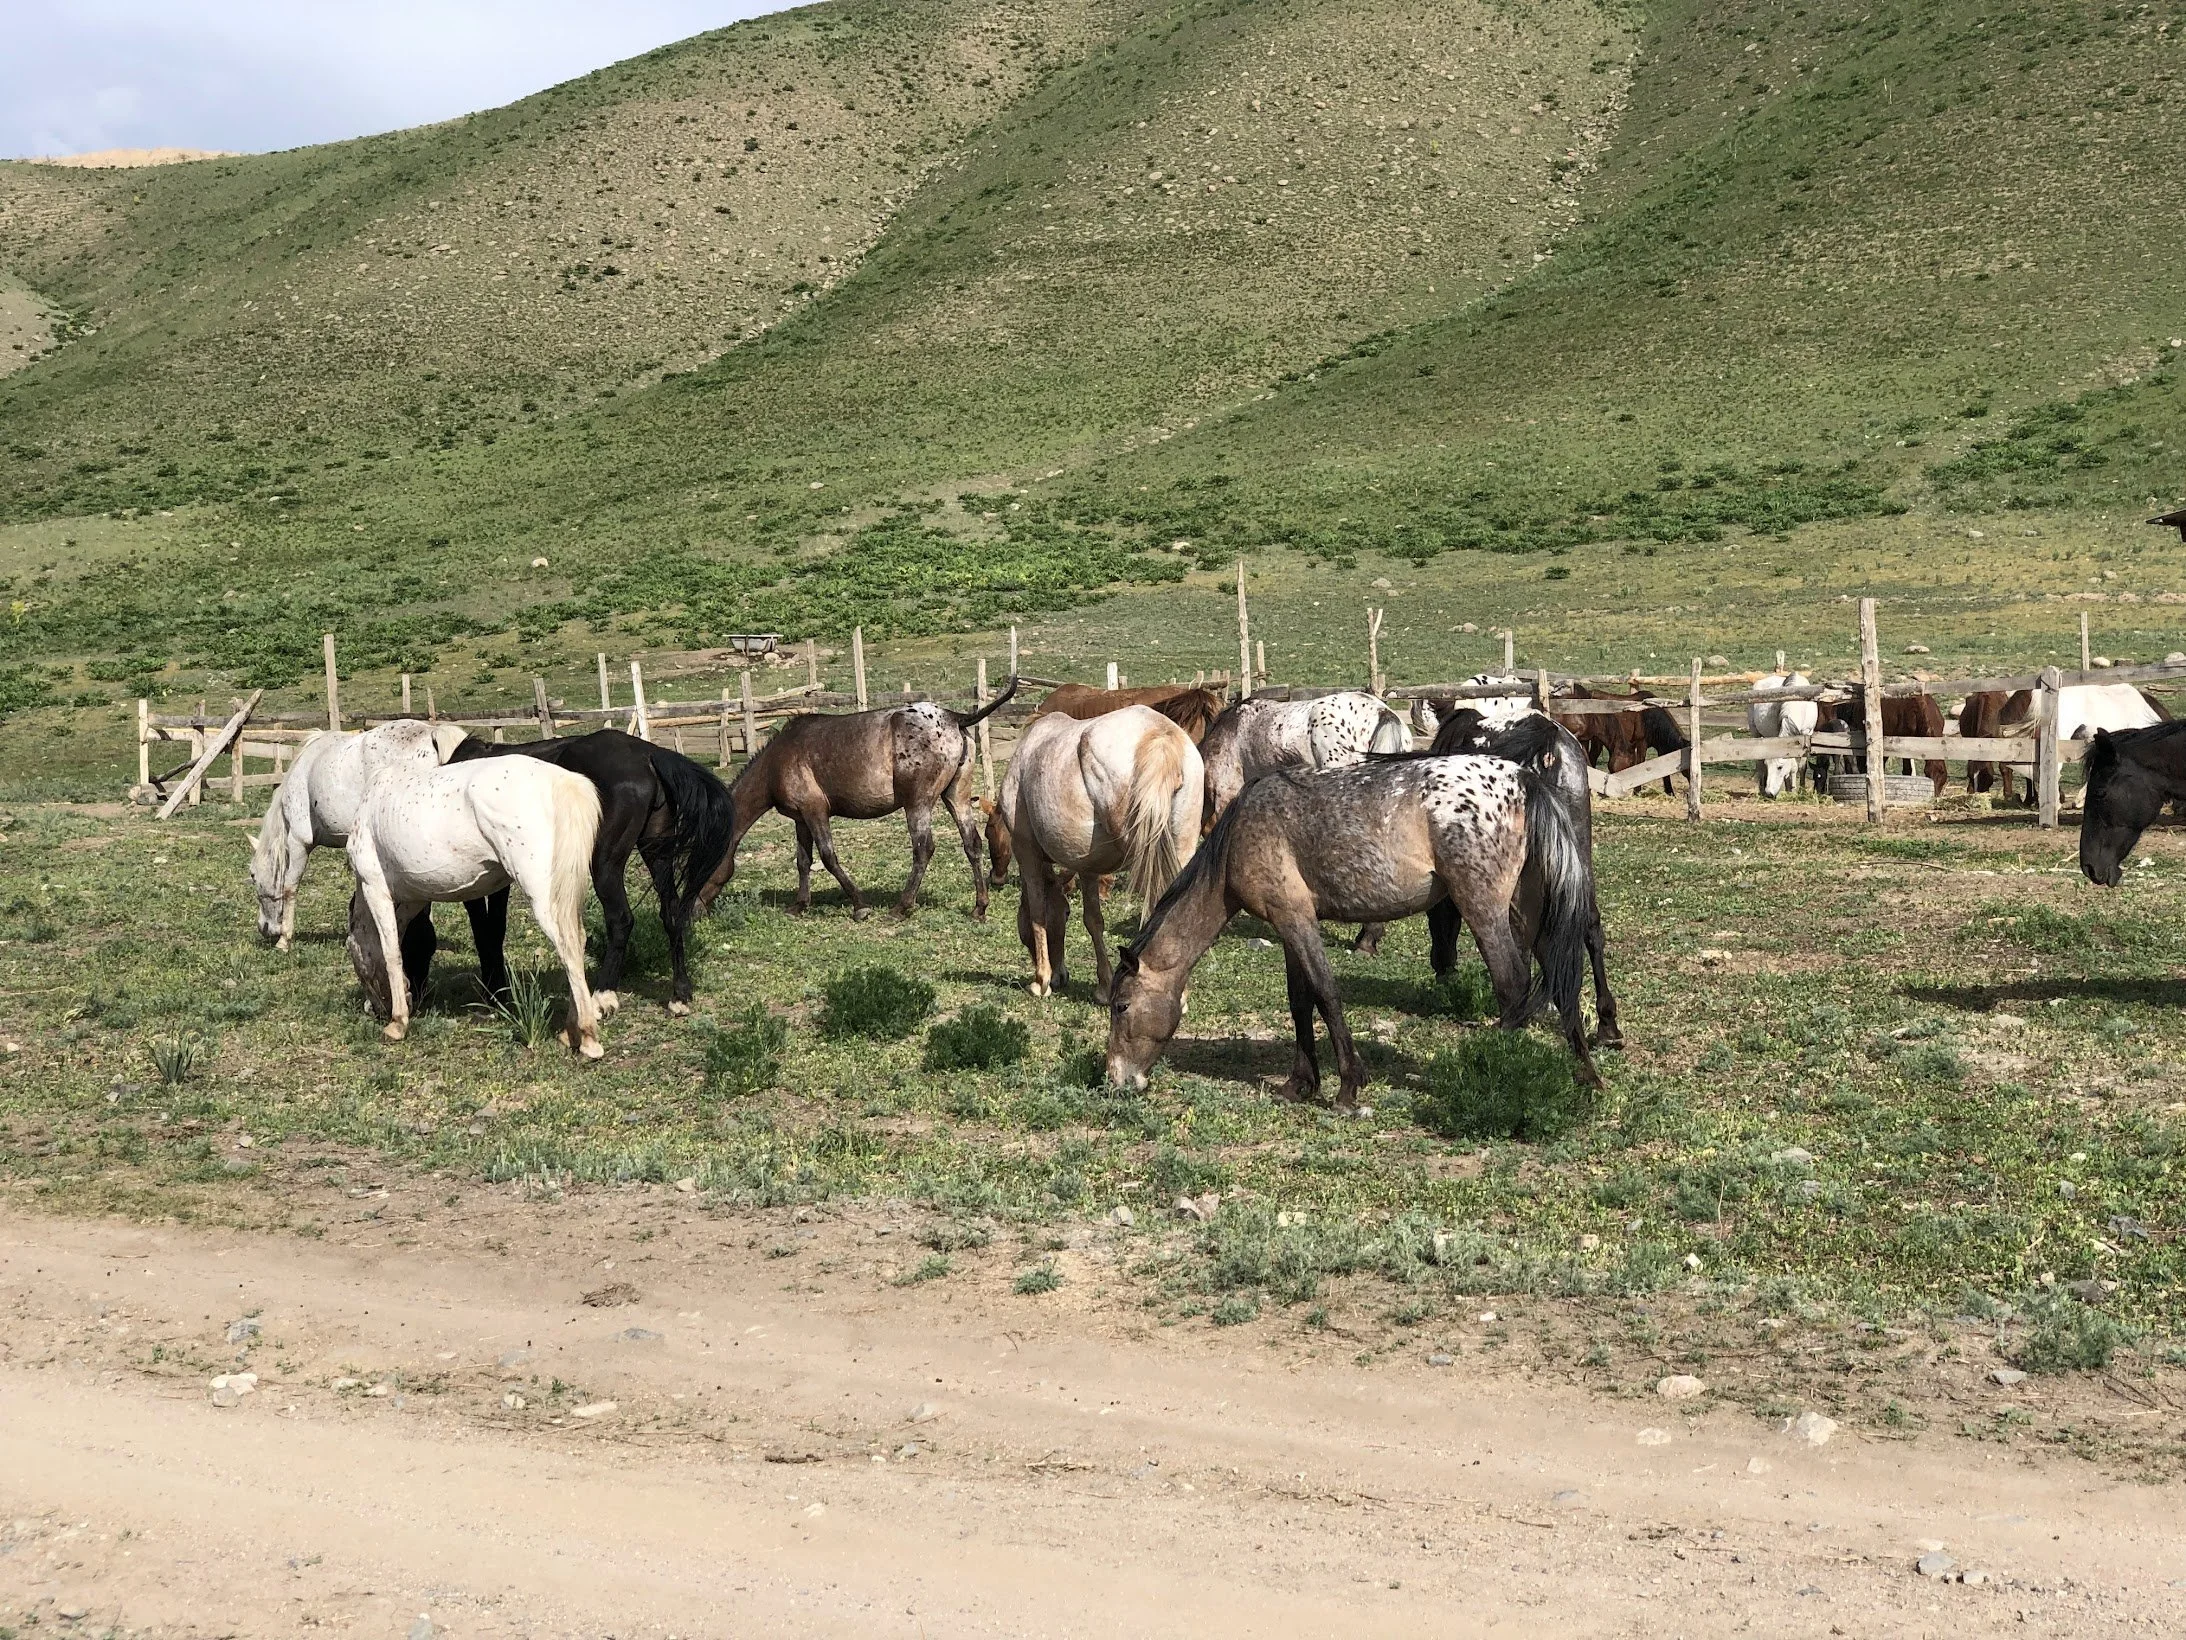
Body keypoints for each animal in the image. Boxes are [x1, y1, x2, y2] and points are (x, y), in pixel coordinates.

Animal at [251, 719, 470, 950]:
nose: (264, 928)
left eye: (253, 875)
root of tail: (432, 733)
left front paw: (284, 940)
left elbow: (290, 886)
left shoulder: (299, 840)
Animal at [344, 758, 606, 1057]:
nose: (377, 1009)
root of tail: (561, 780)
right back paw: (569, 1033)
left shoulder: (375, 887)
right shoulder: (413, 898)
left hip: (543, 896)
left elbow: (389, 953)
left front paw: (397, 1023)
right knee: (578, 941)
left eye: (354, 960)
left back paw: (587, 1038)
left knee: (568, 947)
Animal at [697, 679, 1019, 919]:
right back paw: (979, 908)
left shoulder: (815, 811)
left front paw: (860, 905)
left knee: (923, 848)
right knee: (972, 844)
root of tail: (954, 717)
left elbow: (828, 857)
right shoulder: (801, 818)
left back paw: (901, 907)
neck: (777, 762)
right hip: (956, 797)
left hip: (917, 802)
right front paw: (800, 904)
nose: (694, 911)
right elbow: (803, 860)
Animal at [997, 706, 1204, 1001]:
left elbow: (1039, 912)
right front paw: (1104, 986)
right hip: (1181, 850)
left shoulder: (1027, 853)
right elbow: (1093, 920)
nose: (1060, 976)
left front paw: (1042, 981)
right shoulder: (1087, 867)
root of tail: (1159, 735)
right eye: (1065, 912)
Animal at [1106, 749, 1601, 1110]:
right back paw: (1586, 1075)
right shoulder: (1290, 926)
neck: (1239, 837)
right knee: (1561, 983)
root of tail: (1525, 781)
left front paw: (1347, 1087)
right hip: (1529, 909)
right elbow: (1300, 1001)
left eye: (1121, 1006)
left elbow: (1326, 994)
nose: (1115, 1080)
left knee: (1514, 988)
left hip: (1485, 909)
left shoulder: (1295, 919)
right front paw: (1299, 1083)